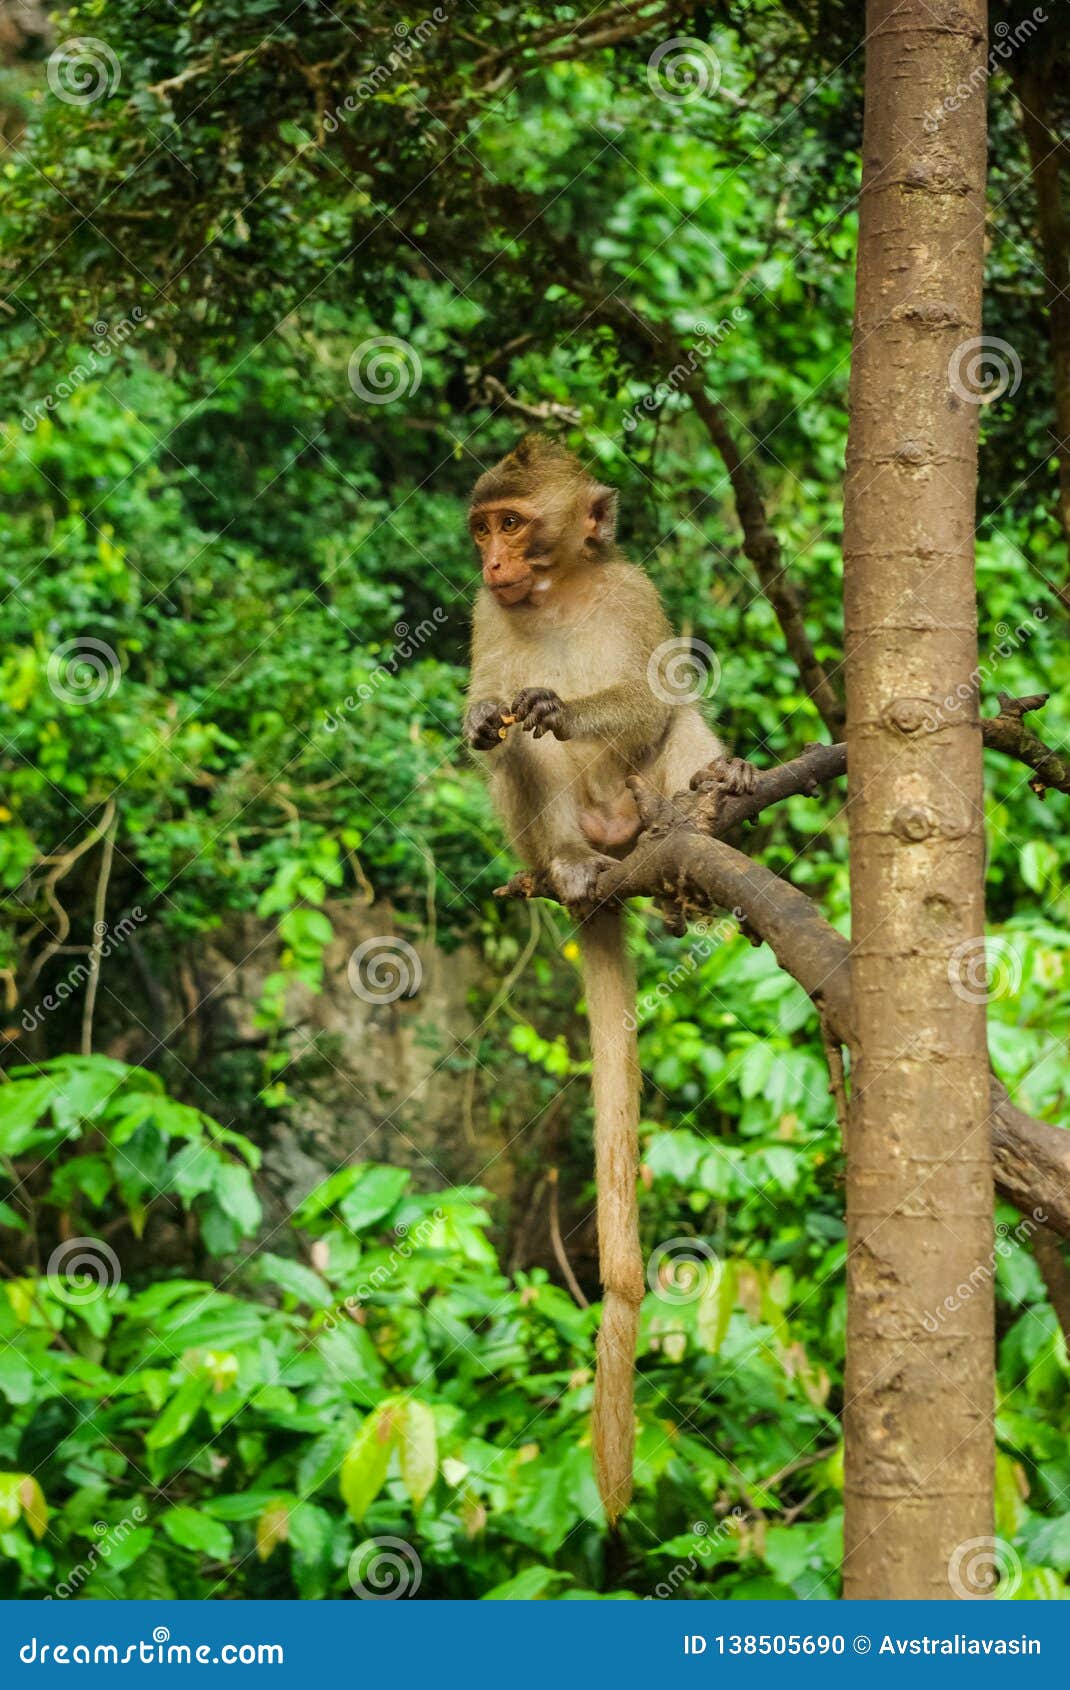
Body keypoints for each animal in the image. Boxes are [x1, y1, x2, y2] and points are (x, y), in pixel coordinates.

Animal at [464, 434, 754, 1526]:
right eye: (484, 528)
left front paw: (576, 706)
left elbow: (656, 686)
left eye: (513, 522)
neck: (557, 590)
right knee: (522, 764)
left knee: (673, 725)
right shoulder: (484, 615)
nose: (491, 559)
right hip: (562, 839)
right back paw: (569, 866)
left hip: (643, 807)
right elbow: (491, 717)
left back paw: (703, 813)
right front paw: (489, 714)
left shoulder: (633, 588)